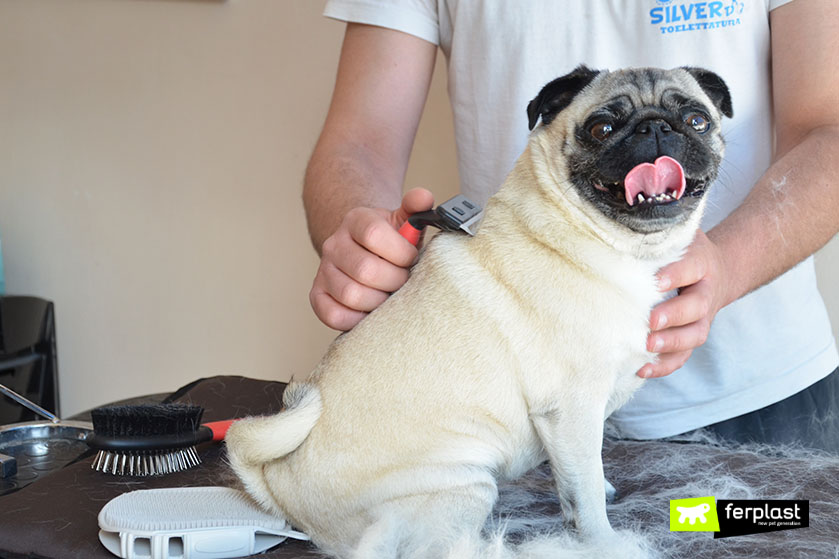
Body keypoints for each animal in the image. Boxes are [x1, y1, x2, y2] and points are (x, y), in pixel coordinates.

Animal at [226, 64, 732, 556]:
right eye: (602, 128)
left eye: (697, 120)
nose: (655, 128)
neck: (614, 244)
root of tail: (279, 488)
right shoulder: (572, 408)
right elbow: (584, 491)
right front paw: (604, 543)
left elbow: (580, 473)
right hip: (461, 486)